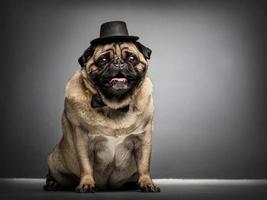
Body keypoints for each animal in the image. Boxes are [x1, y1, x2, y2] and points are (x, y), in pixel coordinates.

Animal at [44, 21, 160, 192]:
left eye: (132, 58)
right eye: (103, 60)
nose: (118, 62)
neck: (114, 105)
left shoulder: (143, 140)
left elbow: (144, 165)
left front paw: (147, 183)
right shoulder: (83, 141)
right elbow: (85, 166)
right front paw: (86, 184)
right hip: (54, 159)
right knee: (53, 174)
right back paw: (52, 184)